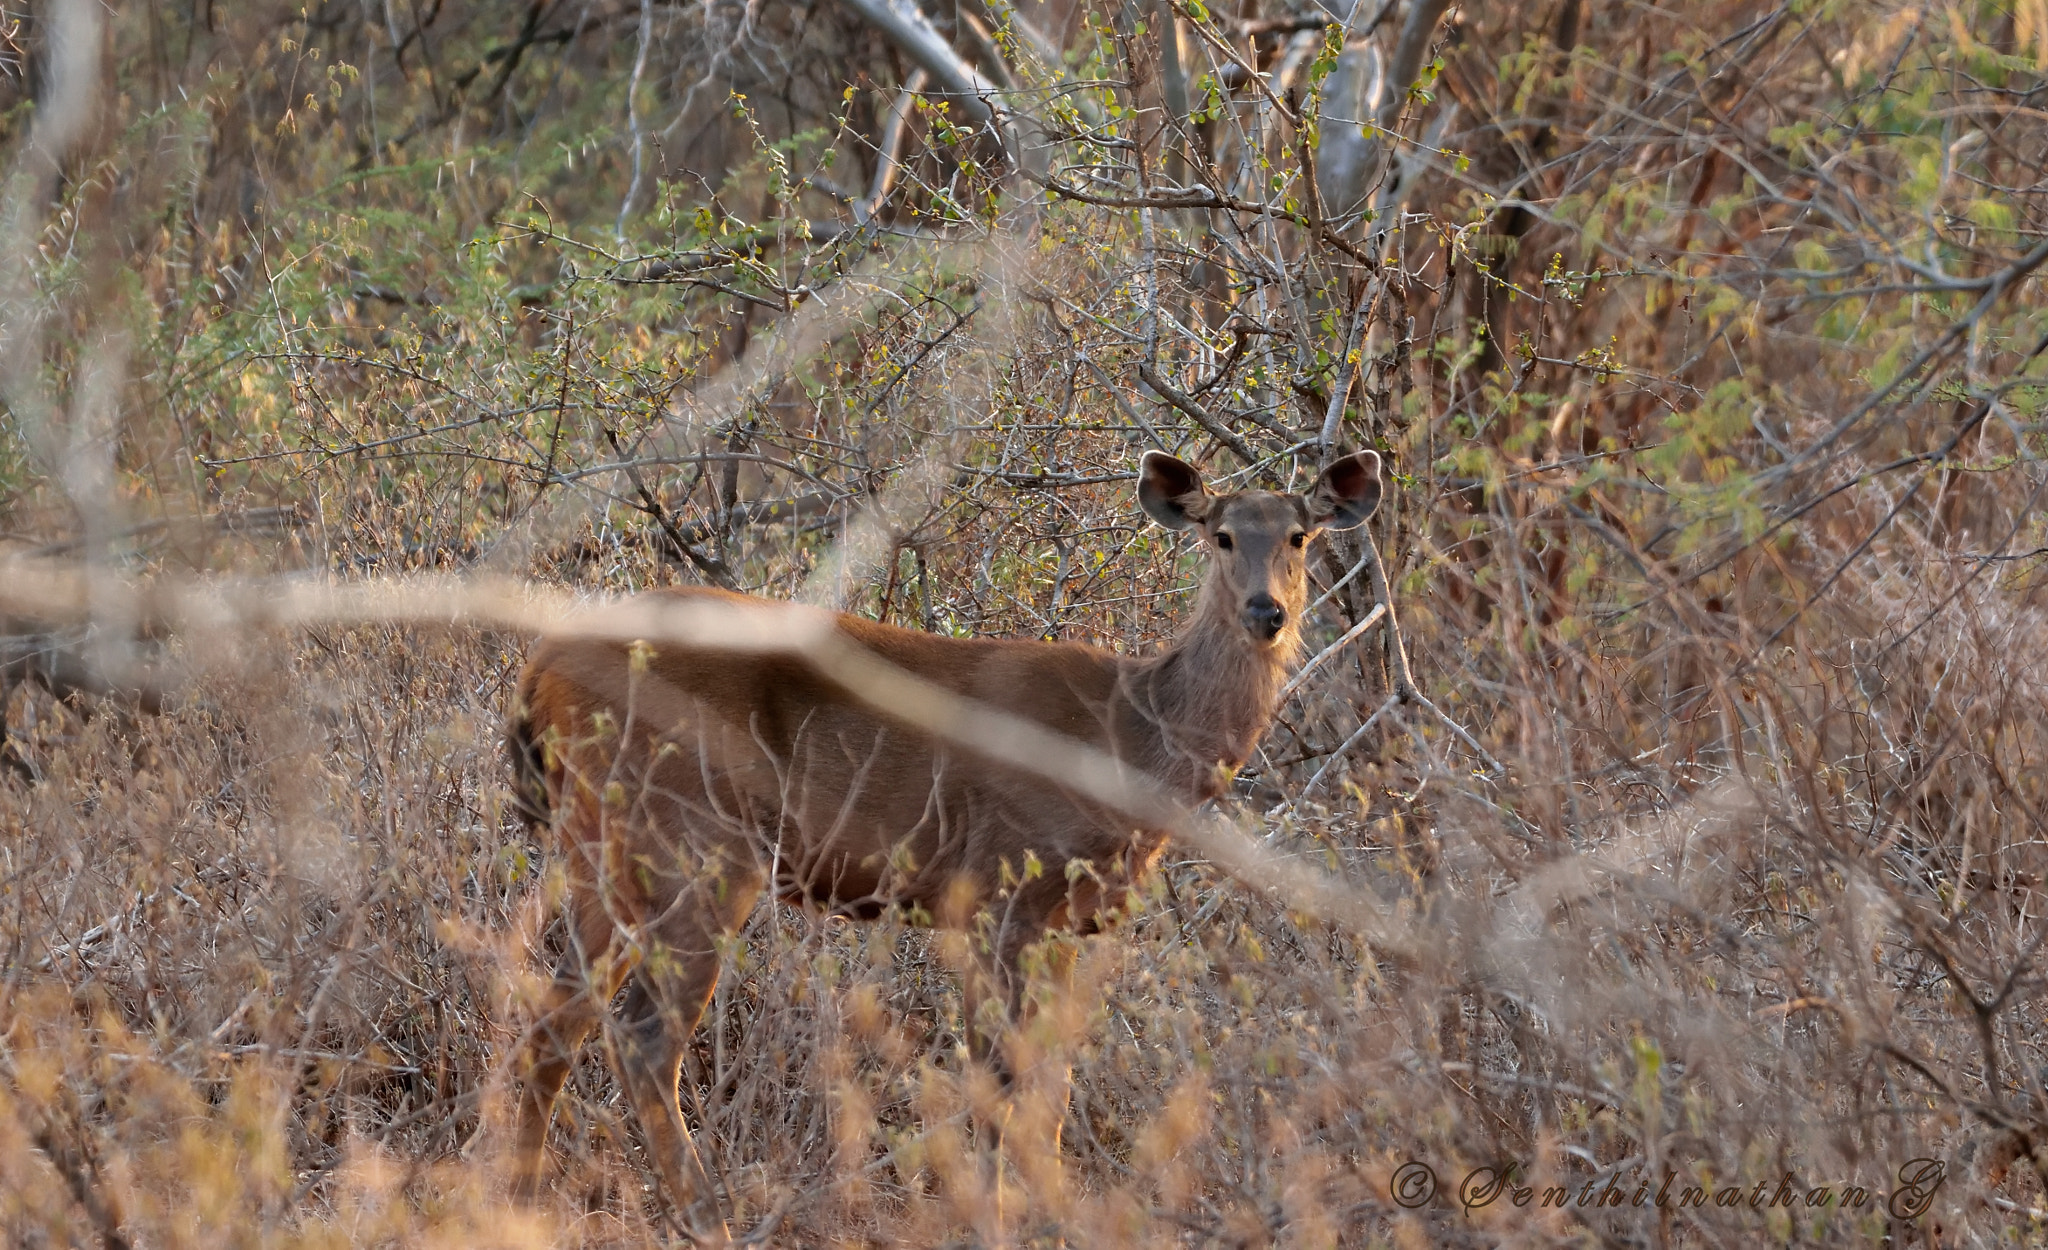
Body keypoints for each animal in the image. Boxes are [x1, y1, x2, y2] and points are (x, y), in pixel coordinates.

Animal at [499, 448, 1384, 1232]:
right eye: (1221, 534)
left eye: (1299, 535)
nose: (1266, 613)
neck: (1130, 736)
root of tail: (539, 667)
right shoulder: (997, 890)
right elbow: (998, 1081)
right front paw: (997, 1218)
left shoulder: (1067, 923)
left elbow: (1053, 1087)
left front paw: (1052, 1212)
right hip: (696, 844)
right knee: (644, 1037)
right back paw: (705, 1217)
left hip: (602, 853)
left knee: (553, 1020)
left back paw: (523, 1195)